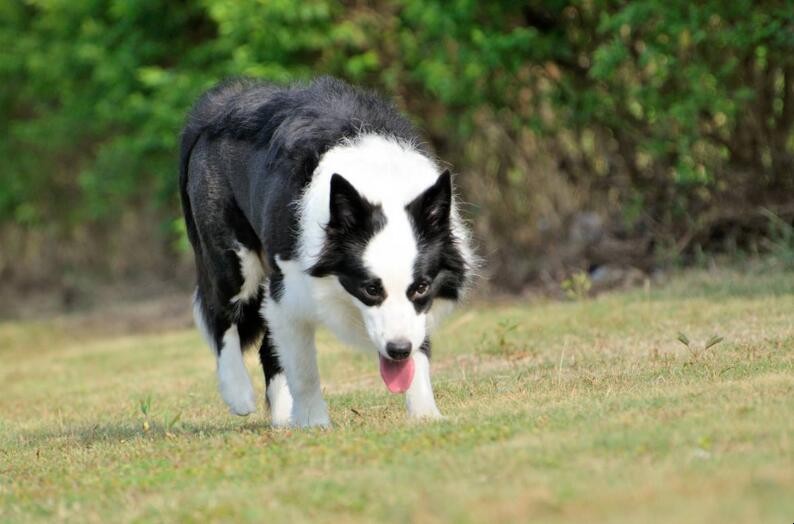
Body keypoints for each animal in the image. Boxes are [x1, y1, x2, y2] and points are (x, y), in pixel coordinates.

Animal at [179, 79, 474, 430]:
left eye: (421, 287)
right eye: (370, 289)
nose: (397, 350)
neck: (380, 181)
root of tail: (217, 104)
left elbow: (419, 348)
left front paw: (425, 413)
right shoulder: (288, 293)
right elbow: (304, 368)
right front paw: (314, 423)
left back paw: (282, 419)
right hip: (234, 260)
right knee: (222, 314)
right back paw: (238, 393)